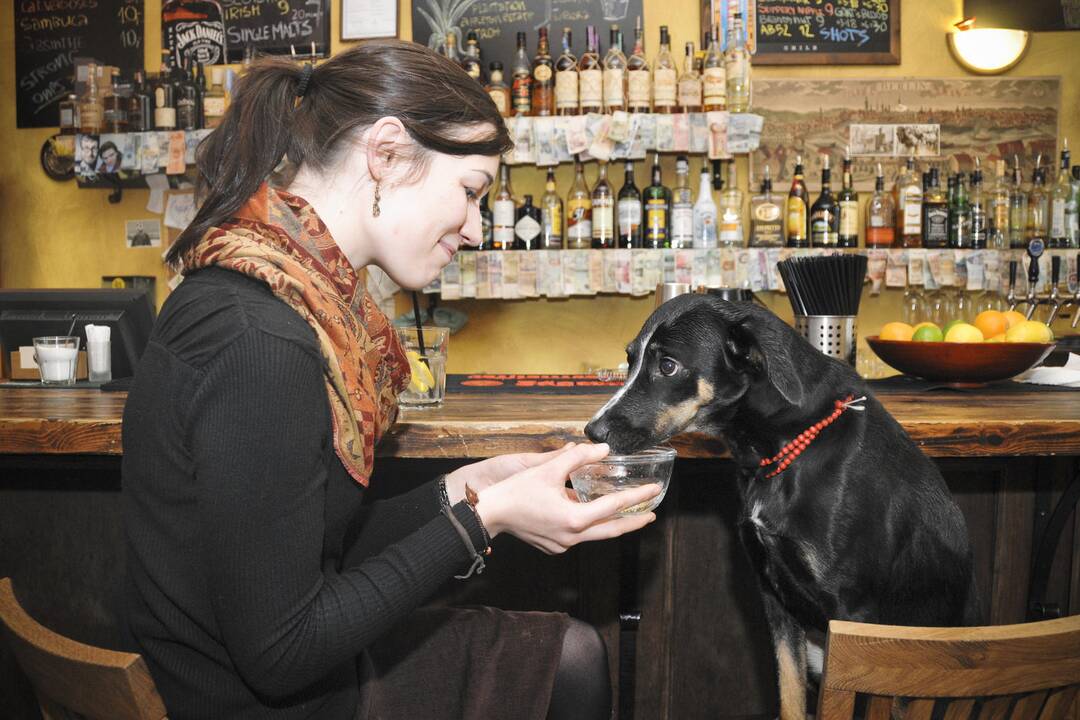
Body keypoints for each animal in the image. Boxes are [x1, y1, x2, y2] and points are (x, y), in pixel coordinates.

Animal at [587, 293, 984, 720]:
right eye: (629, 359)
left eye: (667, 365)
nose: (591, 431)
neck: (783, 447)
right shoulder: (775, 600)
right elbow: (790, 696)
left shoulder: (854, 619)